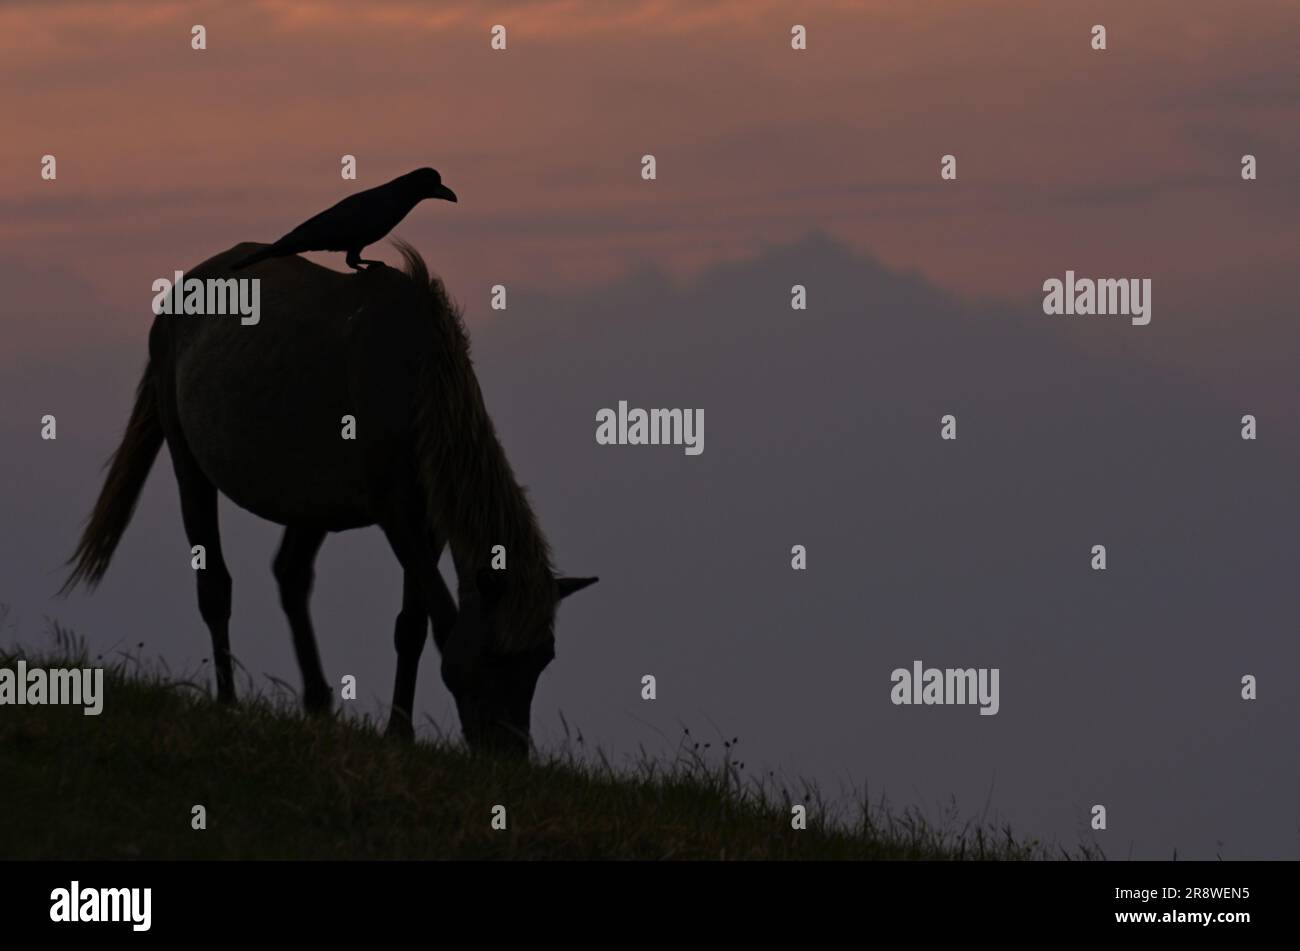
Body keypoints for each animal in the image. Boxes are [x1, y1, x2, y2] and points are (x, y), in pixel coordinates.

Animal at [64, 241, 598, 753]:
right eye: (491, 655)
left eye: (543, 658)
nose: (508, 752)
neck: (415, 377)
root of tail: (177, 298)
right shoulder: (395, 514)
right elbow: (434, 618)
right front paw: (400, 730)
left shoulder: (429, 521)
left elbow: (412, 624)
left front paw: (398, 730)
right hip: (188, 464)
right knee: (215, 585)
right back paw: (229, 701)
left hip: (309, 502)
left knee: (291, 575)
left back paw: (318, 703)